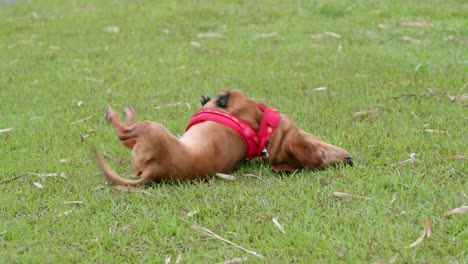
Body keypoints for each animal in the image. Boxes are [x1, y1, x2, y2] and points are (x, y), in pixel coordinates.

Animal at [95, 89, 352, 185]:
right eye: (324, 155)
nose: (350, 160)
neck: (265, 134)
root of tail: (153, 171)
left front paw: (217, 98)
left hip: (152, 128)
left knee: (123, 133)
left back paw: (116, 115)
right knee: (126, 136)